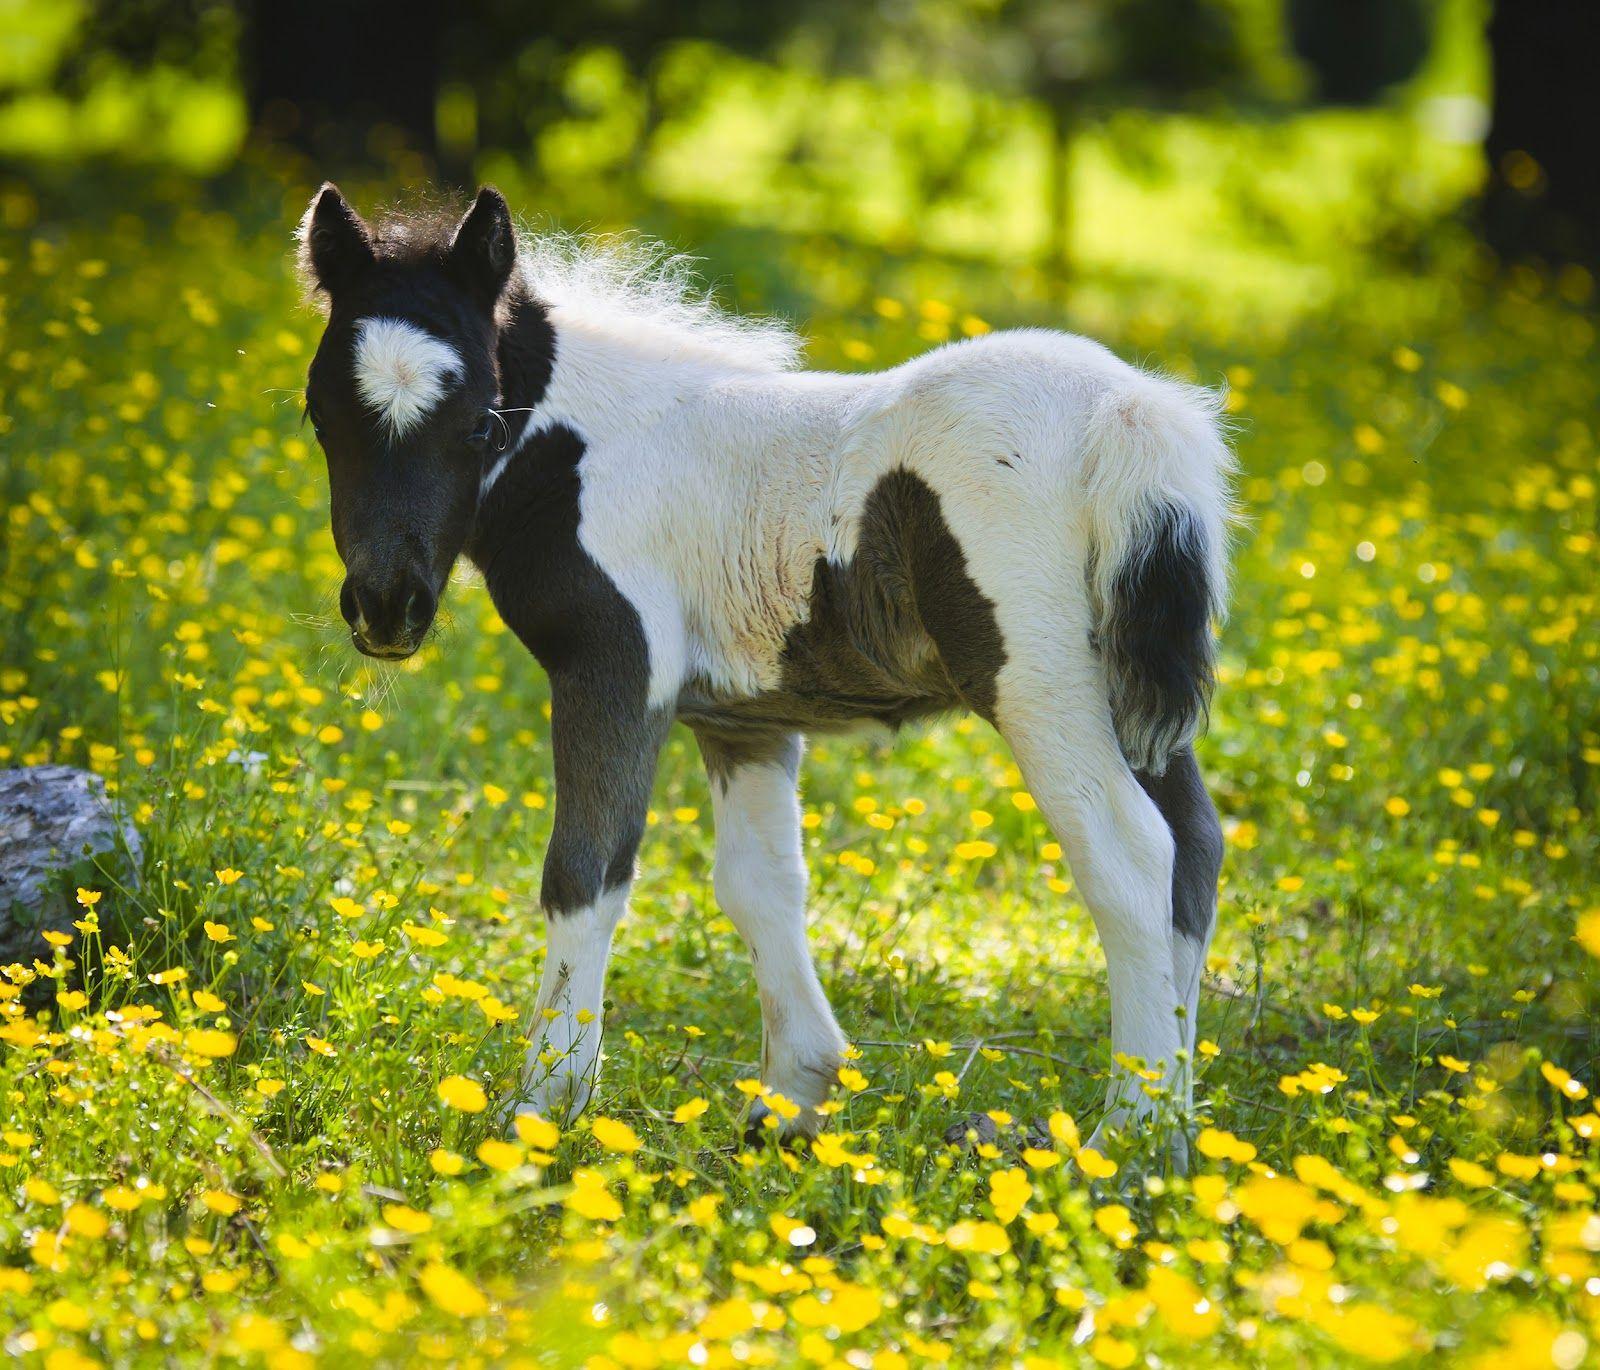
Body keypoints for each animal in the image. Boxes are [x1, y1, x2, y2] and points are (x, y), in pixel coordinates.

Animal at [295, 183, 1234, 1155]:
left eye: (480, 421)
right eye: (318, 415)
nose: (387, 608)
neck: (593, 451)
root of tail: (1128, 416)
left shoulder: (616, 671)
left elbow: (586, 874)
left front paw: (545, 1107)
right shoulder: (746, 719)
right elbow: (761, 886)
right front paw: (791, 1104)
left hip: (1038, 684)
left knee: (1129, 856)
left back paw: (1126, 1138)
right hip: (1129, 699)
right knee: (1196, 851)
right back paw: (1179, 1131)